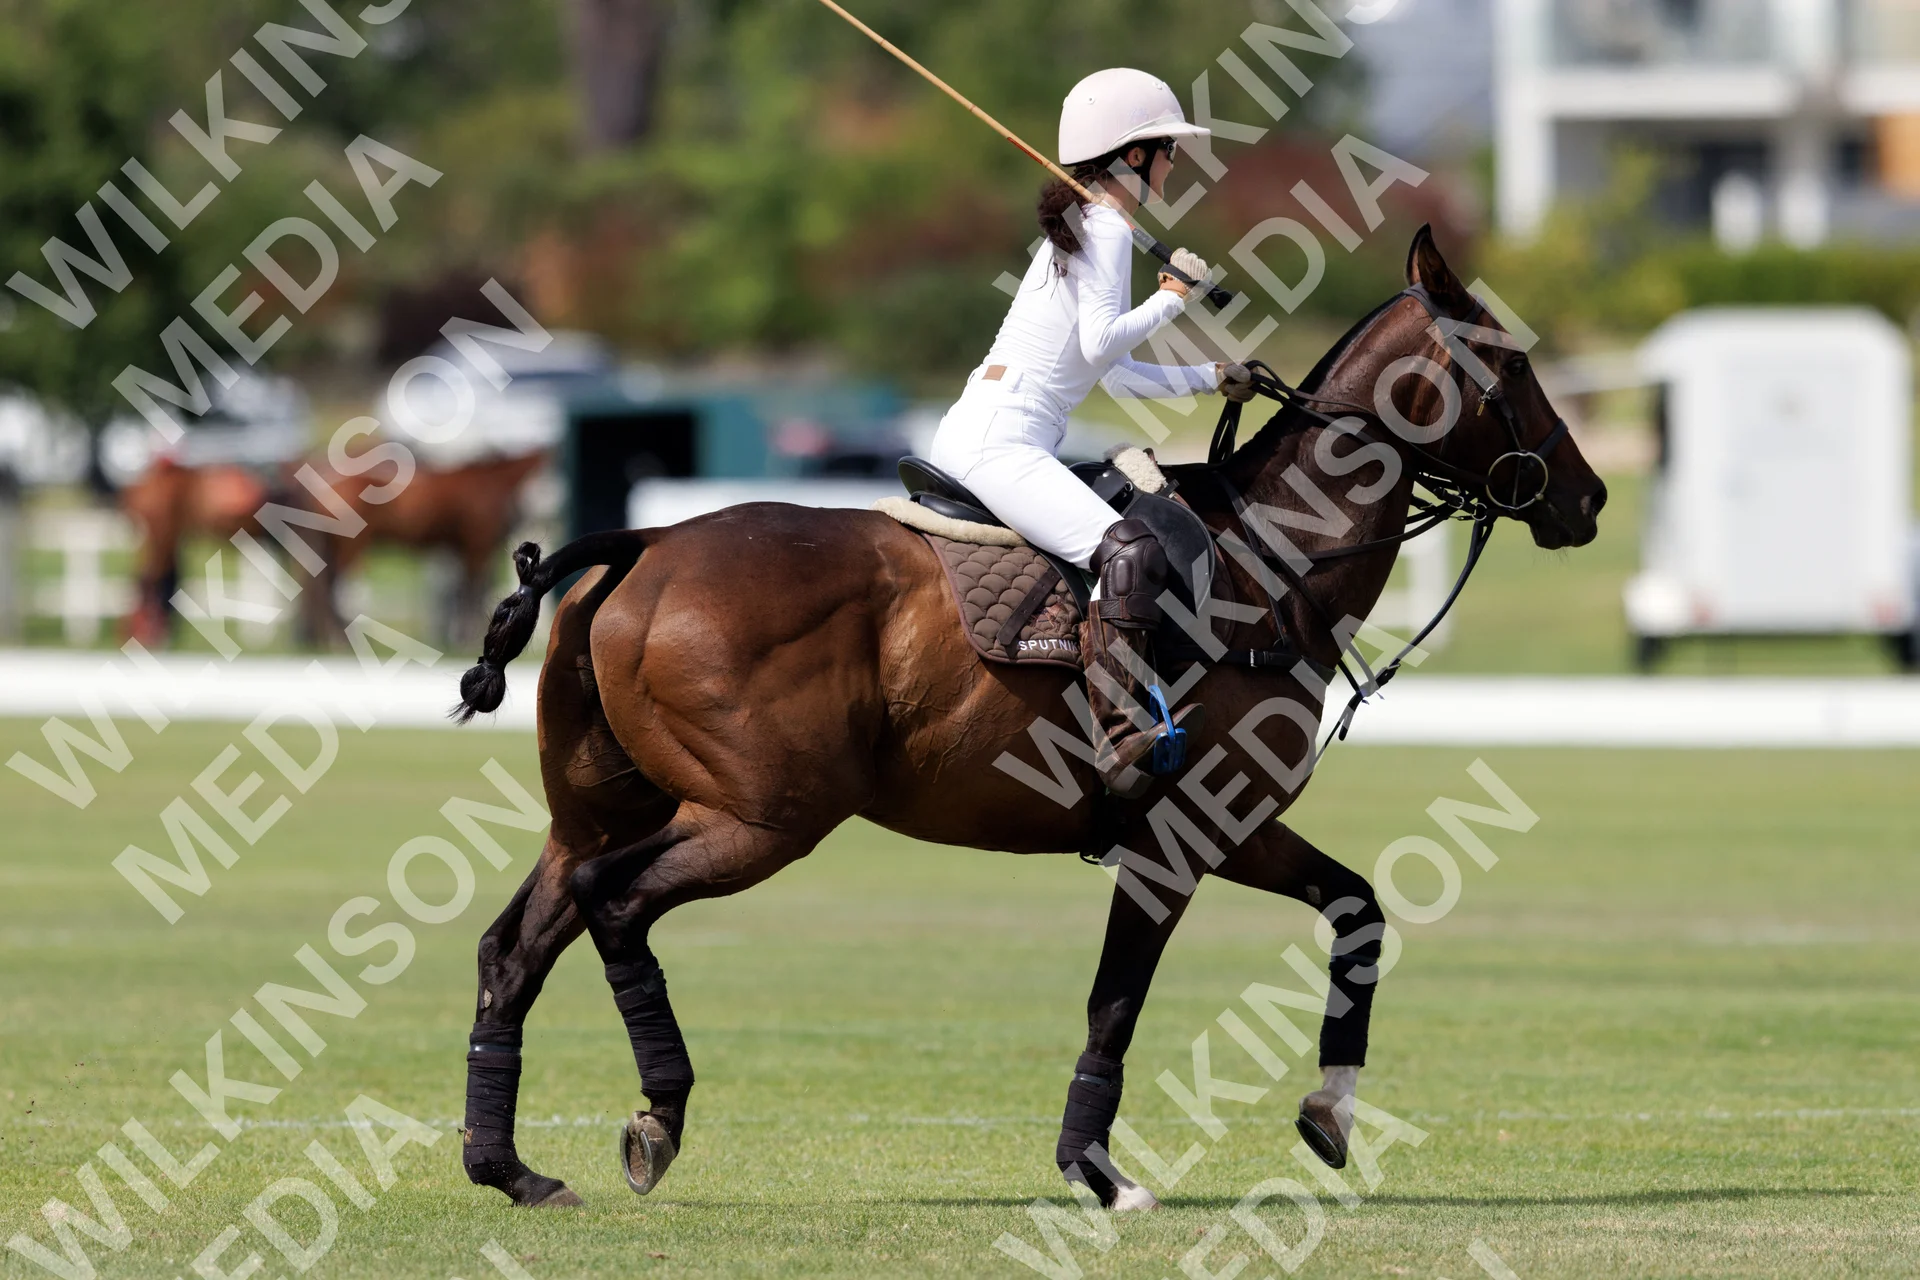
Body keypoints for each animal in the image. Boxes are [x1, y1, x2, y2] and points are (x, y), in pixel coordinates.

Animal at [448, 228, 1607, 1209]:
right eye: (1511, 368)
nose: (1588, 499)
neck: (1270, 568)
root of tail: (643, 544)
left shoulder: (1236, 826)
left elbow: (1358, 908)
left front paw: (1328, 1113)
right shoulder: (1177, 837)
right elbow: (1115, 1003)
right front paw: (1098, 1171)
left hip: (603, 808)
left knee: (516, 944)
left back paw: (511, 1168)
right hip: (762, 817)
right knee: (615, 904)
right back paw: (659, 1115)